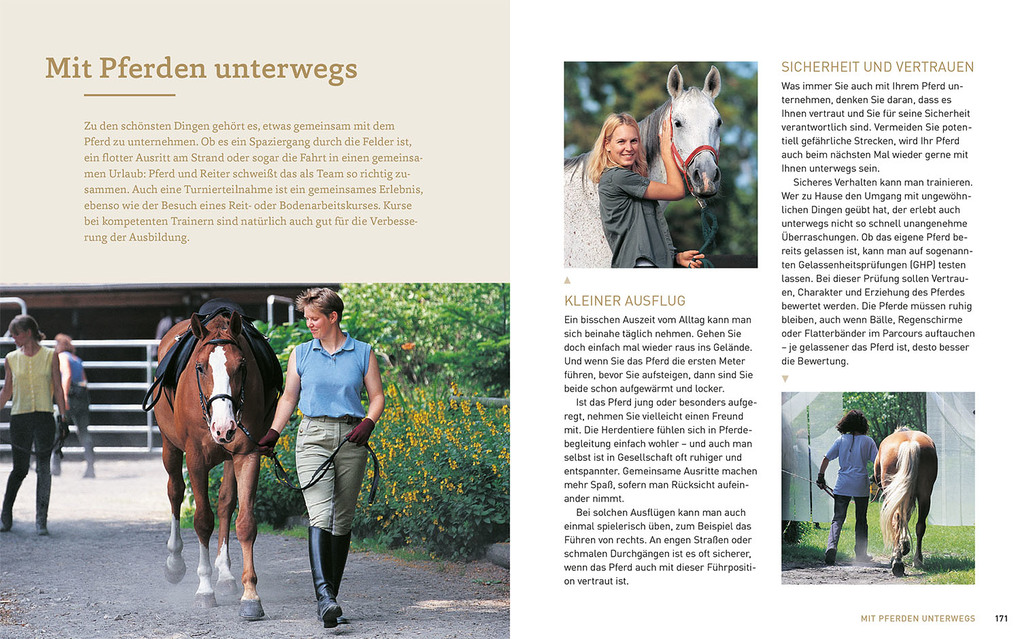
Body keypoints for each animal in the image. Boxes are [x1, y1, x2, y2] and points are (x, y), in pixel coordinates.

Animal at [151, 309, 280, 619]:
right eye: (200, 367)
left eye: (241, 366)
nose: (224, 427)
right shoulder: (195, 457)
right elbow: (202, 521)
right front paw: (204, 589)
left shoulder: (247, 454)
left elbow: (244, 522)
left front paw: (250, 595)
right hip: (170, 446)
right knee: (175, 492)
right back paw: (175, 562)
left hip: (229, 457)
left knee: (225, 504)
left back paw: (226, 574)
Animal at [875, 427, 938, 577]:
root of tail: (910, 444)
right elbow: (907, 517)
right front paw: (904, 545)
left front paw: (901, 547)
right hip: (925, 495)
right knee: (920, 526)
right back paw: (917, 560)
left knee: (896, 520)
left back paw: (898, 561)